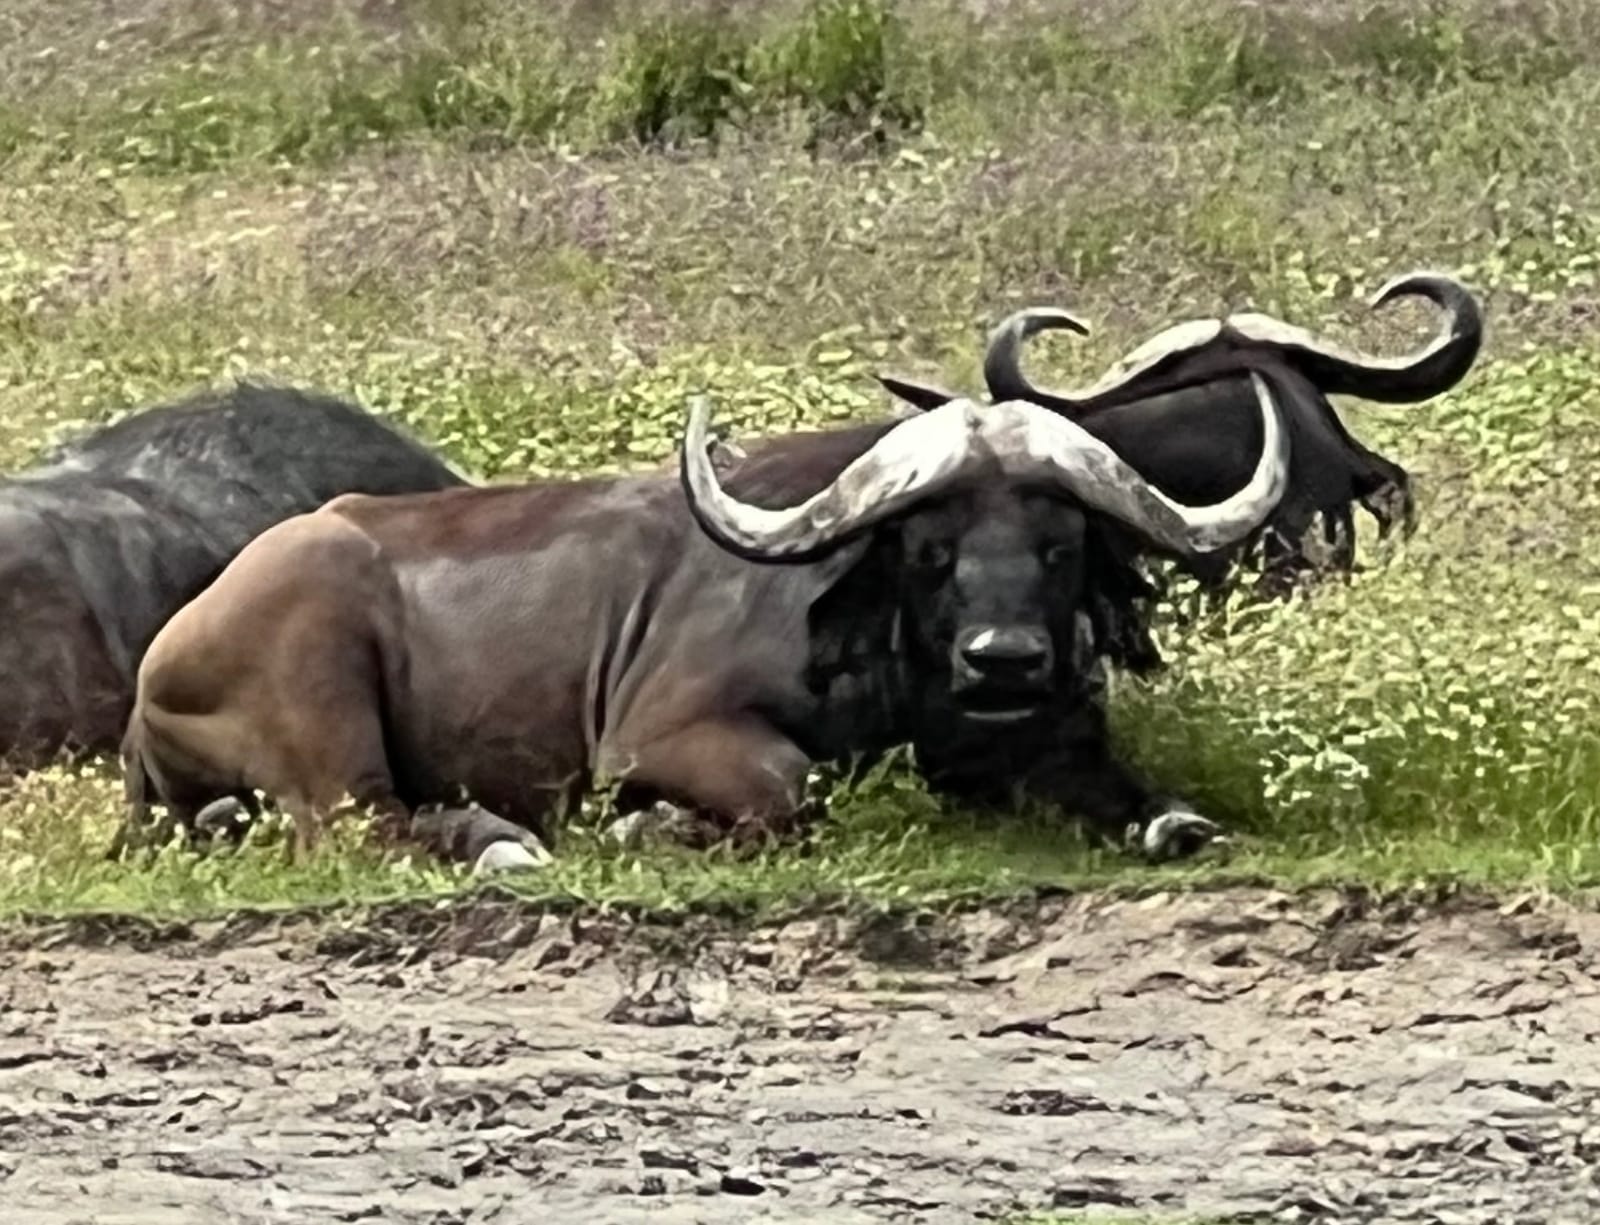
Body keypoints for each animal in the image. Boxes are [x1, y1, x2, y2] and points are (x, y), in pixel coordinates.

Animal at [116, 378, 1294, 874]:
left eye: (1058, 543)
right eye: (929, 546)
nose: (1004, 659)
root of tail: (162, 659)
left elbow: (1155, 809)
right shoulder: (661, 738)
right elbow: (791, 786)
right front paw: (650, 829)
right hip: (324, 702)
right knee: (358, 823)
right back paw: (500, 842)